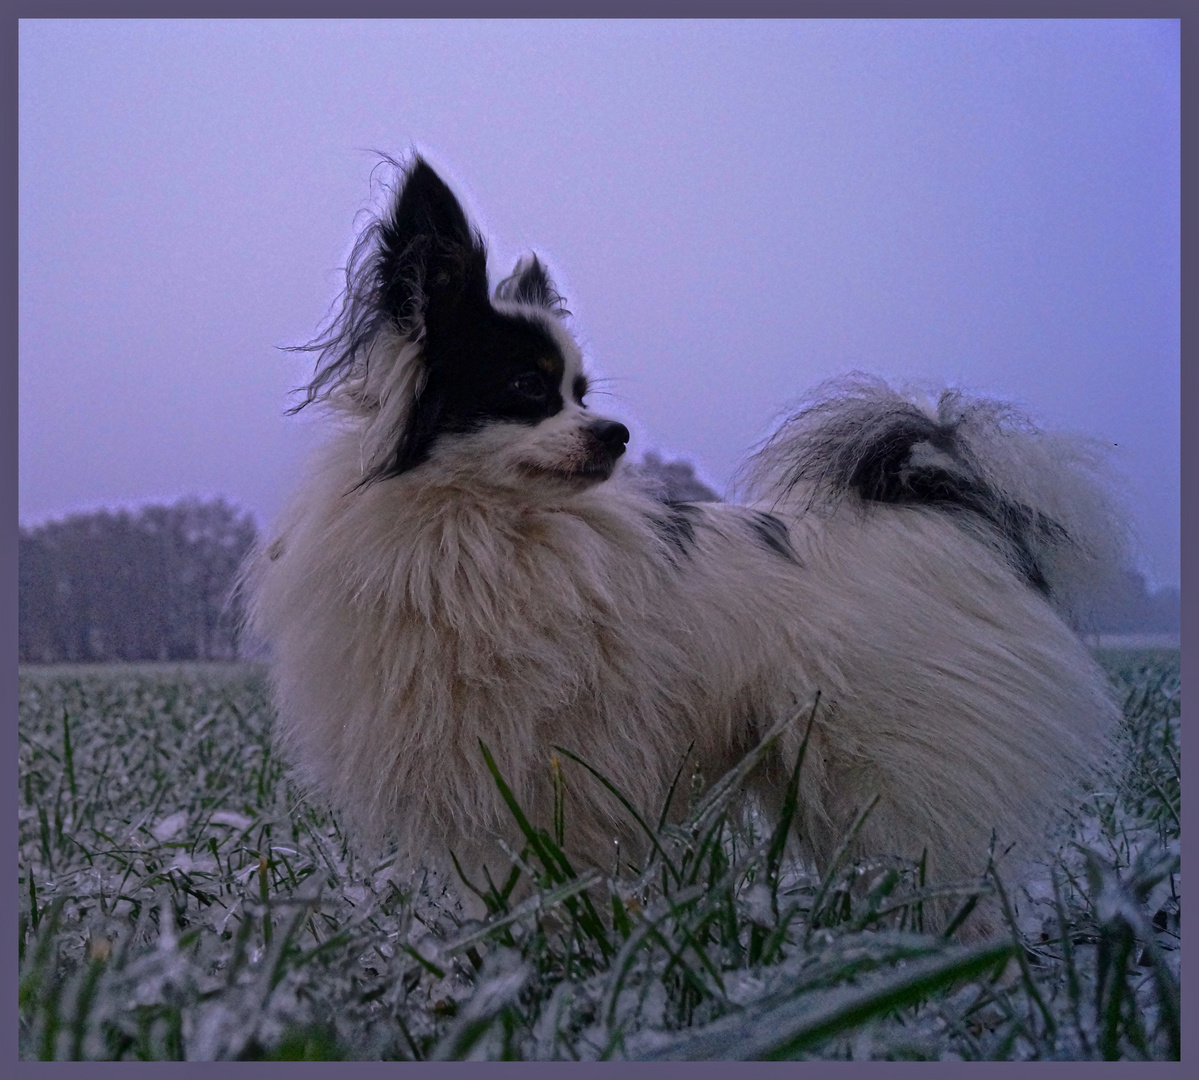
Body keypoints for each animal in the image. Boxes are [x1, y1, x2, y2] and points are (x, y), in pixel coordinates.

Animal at [248, 153, 1127, 925]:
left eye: (582, 393)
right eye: (528, 387)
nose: (615, 433)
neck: (487, 527)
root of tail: (943, 521)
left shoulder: (563, 762)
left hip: (886, 765)